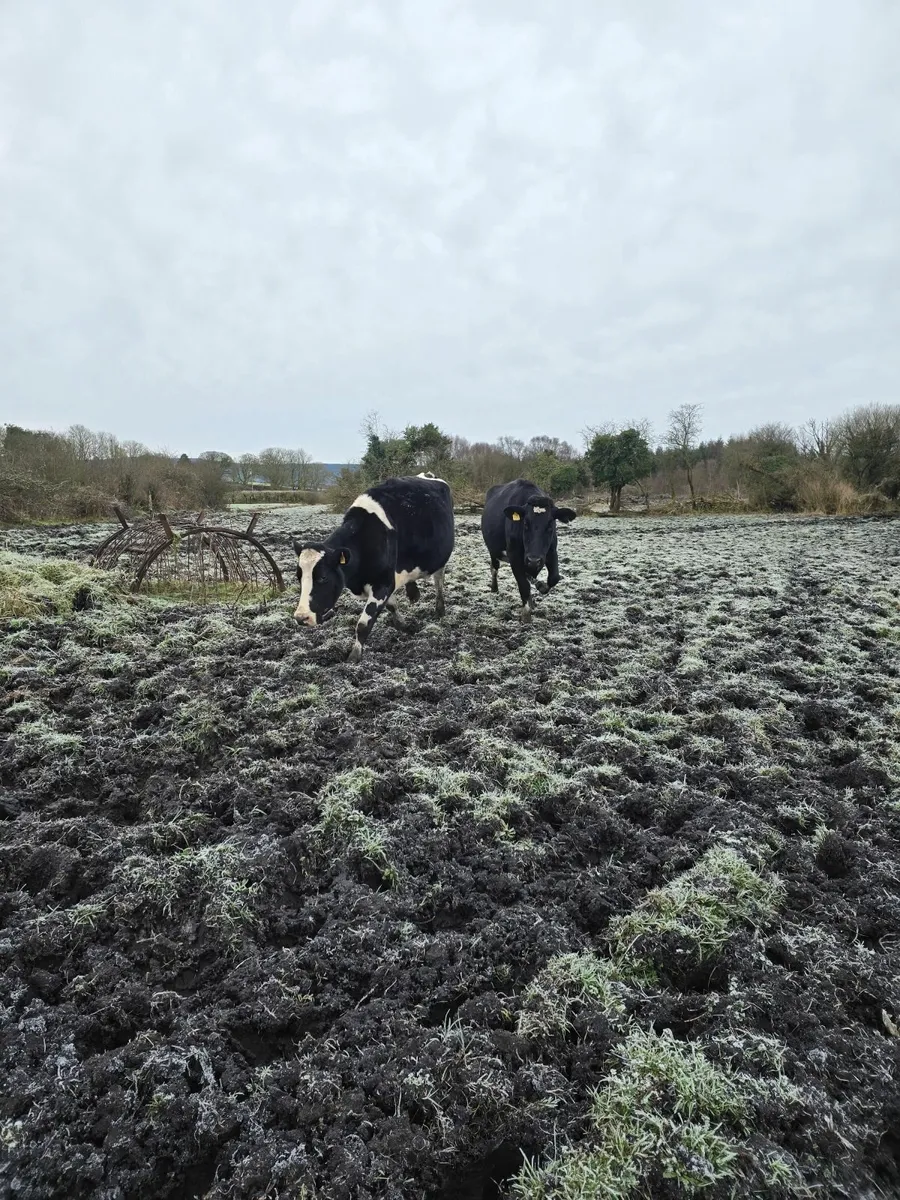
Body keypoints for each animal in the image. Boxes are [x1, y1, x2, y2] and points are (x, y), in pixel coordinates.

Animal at [293, 473, 454, 661]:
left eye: (323, 577)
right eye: (298, 576)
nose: (301, 617)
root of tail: (427, 476)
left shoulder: (382, 583)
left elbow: (363, 624)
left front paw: (354, 656)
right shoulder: (387, 582)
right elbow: (392, 606)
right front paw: (403, 625)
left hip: (441, 559)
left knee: (439, 582)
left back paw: (440, 609)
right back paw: (413, 593)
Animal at [481, 478, 576, 623]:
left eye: (550, 525)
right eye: (525, 523)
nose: (534, 560)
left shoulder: (551, 552)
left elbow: (554, 578)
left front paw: (541, 587)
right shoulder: (514, 556)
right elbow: (523, 585)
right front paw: (526, 614)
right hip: (493, 550)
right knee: (494, 568)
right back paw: (494, 588)